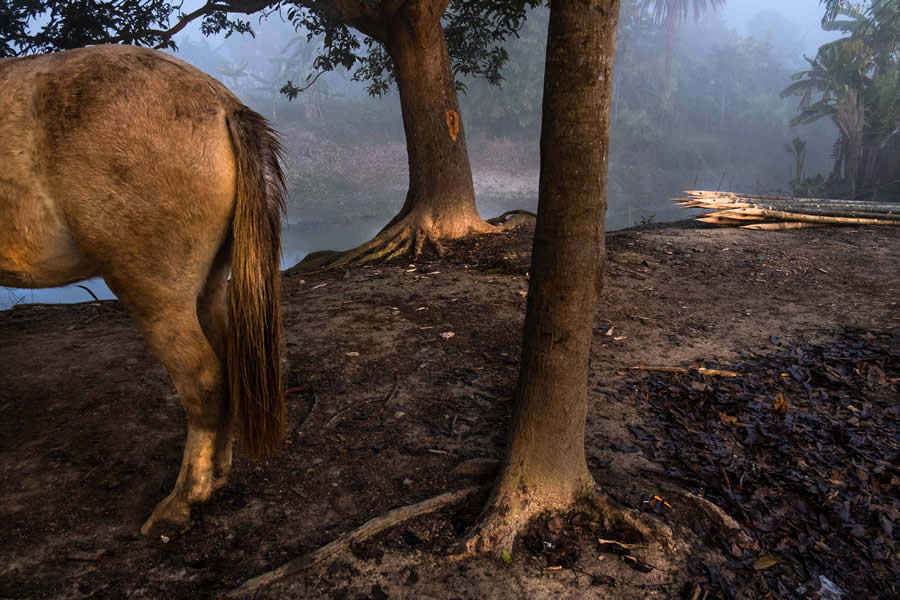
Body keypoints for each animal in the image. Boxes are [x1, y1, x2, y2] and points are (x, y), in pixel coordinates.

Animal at [0, 44, 286, 536]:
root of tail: (222, 104)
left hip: (157, 299)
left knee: (203, 381)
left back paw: (184, 499)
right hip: (208, 287)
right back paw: (217, 474)